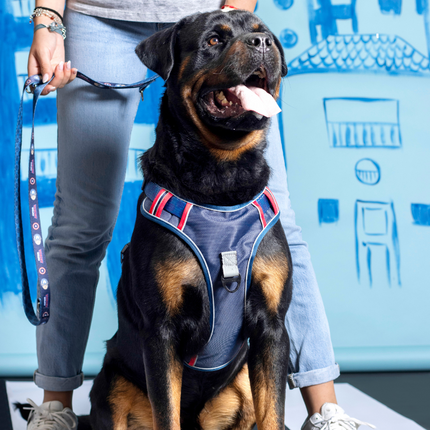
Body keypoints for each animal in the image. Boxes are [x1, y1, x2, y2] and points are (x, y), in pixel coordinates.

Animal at [89, 7, 294, 430]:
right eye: (214, 40)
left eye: (263, 33)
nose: (261, 43)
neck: (221, 178)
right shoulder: (160, 332)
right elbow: (167, 412)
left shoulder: (272, 326)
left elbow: (273, 410)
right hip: (111, 382)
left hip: (242, 381)